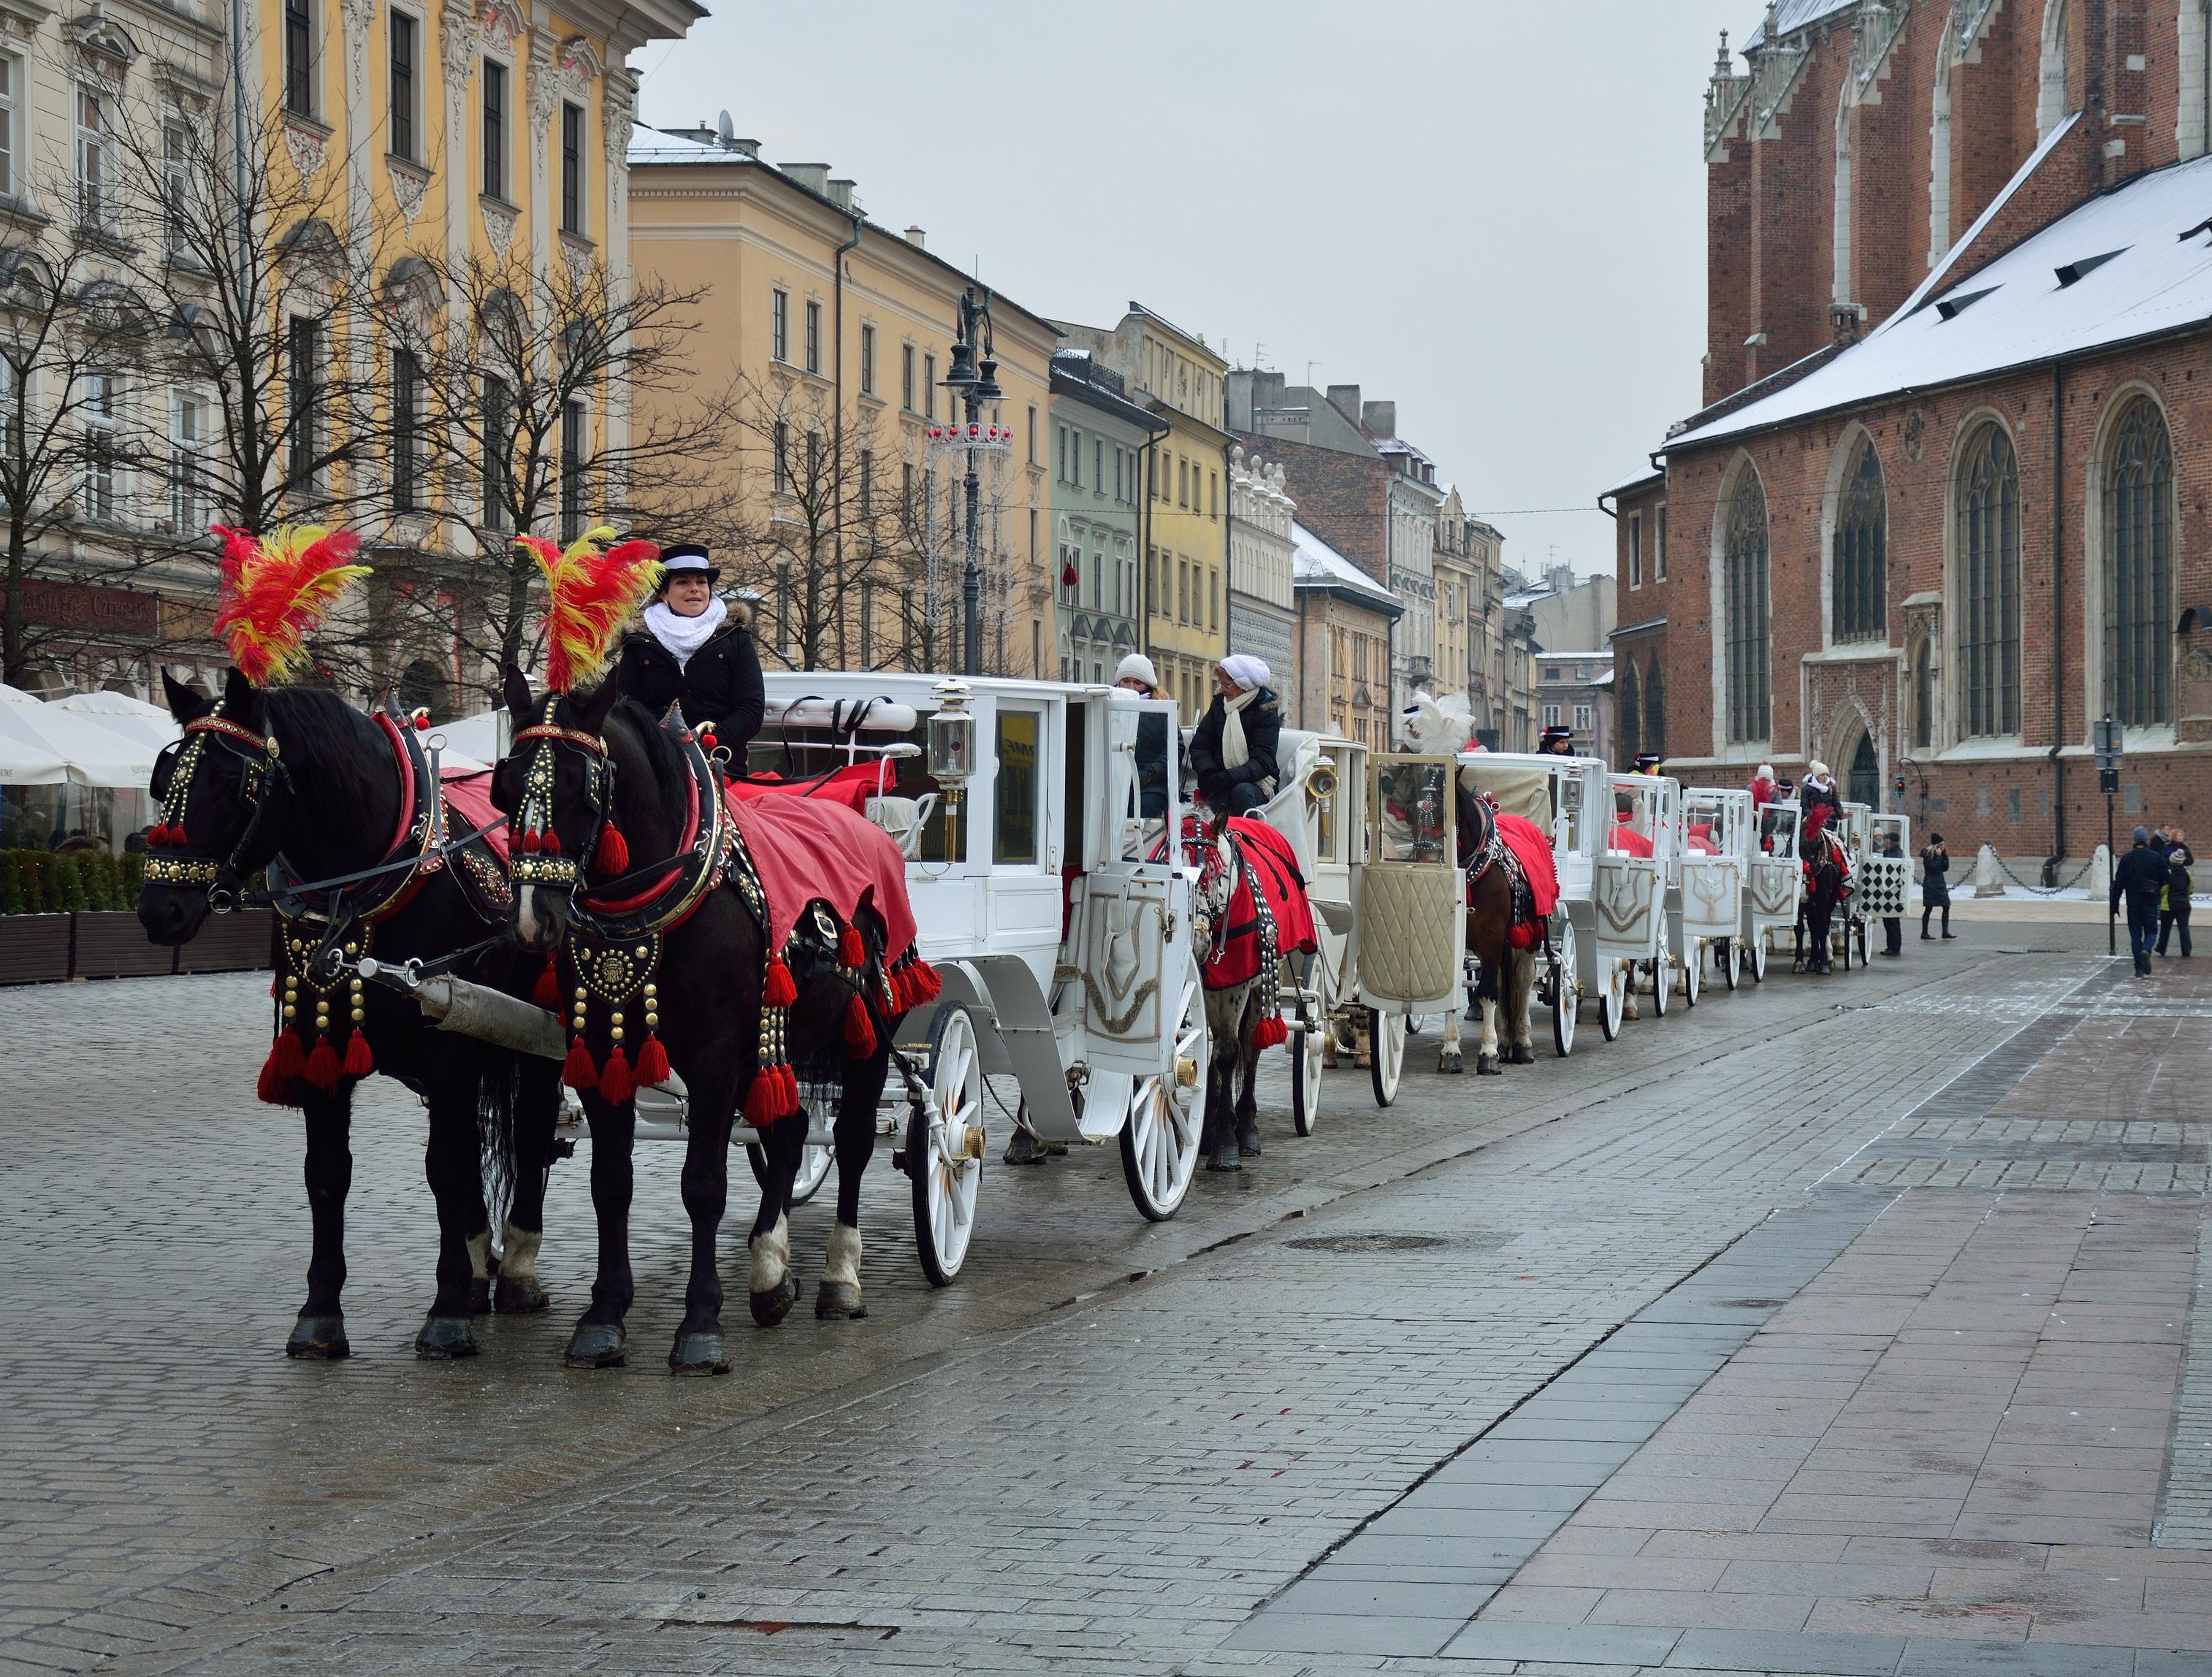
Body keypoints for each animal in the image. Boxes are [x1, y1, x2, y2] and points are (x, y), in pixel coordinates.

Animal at [138, 670, 561, 1361]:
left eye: (231, 782)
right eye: (163, 775)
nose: (159, 909)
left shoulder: (450, 1043)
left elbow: (445, 1168)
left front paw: (446, 1313)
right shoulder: (323, 1046)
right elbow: (327, 1174)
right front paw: (319, 1316)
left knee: (531, 1128)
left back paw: (518, 1266)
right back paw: (481, 1265)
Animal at [498, 670, 922, 1373]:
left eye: (581, 786)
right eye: (503, 787)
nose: (532, 923)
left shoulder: (716, 1058)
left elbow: (702, 1185)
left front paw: (699, 1325)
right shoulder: (599, 1054)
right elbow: (610, 1183)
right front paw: (603, 1317)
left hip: (866, 1030)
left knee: (856, 1140)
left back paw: (840, 1279)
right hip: (780, 1042)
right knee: (791, 1132)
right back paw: (771, 1273)